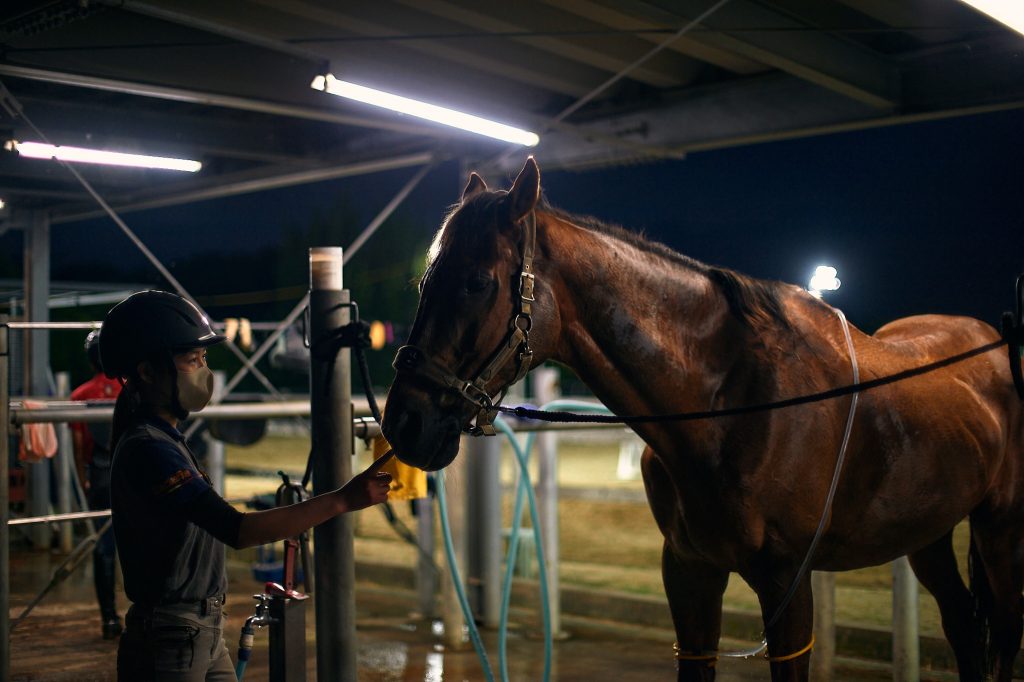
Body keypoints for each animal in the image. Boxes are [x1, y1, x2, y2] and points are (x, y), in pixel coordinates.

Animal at [380, 157, 1024, 681]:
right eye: (424, 280)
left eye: (477, 282)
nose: (403, 423)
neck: (732, 408)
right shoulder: (689, 575)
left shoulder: (787, 587)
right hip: (929, 533)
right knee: (964, 627)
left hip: (999, 528)